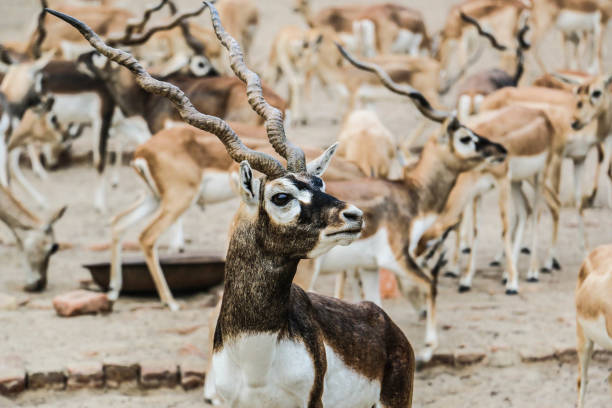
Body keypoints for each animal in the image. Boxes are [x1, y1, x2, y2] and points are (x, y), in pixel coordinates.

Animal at [306, 45, 506, 364]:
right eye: (465, 137)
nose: (500, 149)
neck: (411, 194)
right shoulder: (398, 258)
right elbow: (430, 284)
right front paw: (428, 348)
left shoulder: (370, 267)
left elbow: (375, 305)